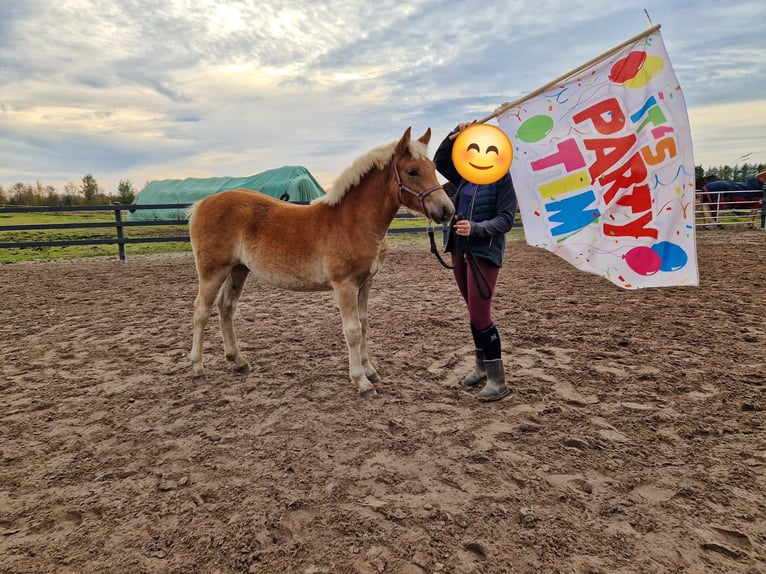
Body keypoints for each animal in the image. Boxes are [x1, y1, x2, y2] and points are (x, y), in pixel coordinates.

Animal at [188, 126, 456, 398]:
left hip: (238, 270)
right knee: (201, 311)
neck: (352, 222)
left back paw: (239, 361)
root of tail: (202, 204)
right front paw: (361, 381)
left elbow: (364, 324)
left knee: (226, 307)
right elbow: (352, 331)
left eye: (433, 167)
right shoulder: (345, 285)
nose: (447, 210)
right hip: (213, 272)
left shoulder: (365, 284)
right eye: (412, 171)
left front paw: (370, 370)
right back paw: (197, 368)